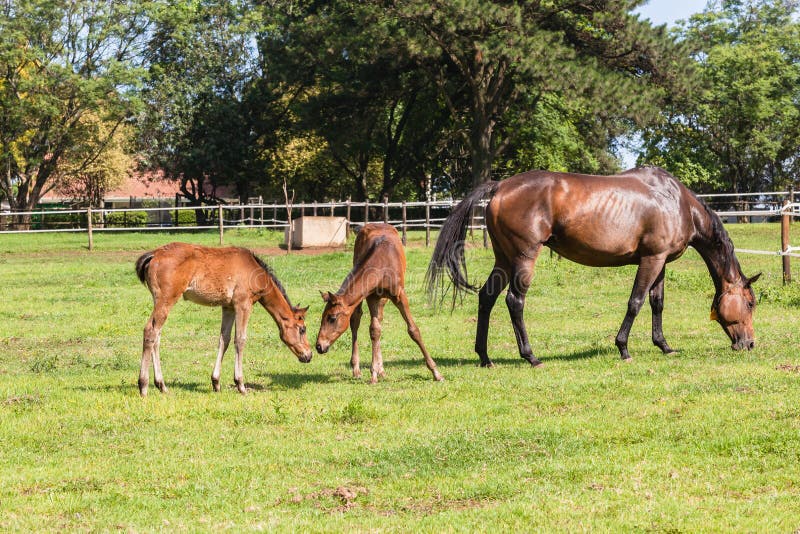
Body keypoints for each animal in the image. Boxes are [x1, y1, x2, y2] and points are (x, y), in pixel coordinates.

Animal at [135, 242, 312, 395]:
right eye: (302, 329)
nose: (309, 355)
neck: (254, 271)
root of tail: (154, 254)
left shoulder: (228, 307)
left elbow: (224, 340)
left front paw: (216, 382)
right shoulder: (243, 304)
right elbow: (240, 340)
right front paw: (240, 385)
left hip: (159, 301)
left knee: (157, 336)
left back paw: (162, 385)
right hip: (167, 299)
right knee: (150, 331)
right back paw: (143, 386)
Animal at [315, 223, 444, 383]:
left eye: (332, 318)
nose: (319, 346)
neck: (382, 262)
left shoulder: (400, 295)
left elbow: (413, 330)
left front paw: (436, 372)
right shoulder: (372, 296)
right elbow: (374, 330)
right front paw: (373, 373)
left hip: (384, 298)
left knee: (379, 320)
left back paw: (381, 369)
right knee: (356, 320)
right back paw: (358, 369)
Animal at [427, 166, 760, 367]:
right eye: (749, 302)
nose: (749, 343)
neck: (676, 202)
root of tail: (500, 186)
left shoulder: (661, 261)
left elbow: (657, 303)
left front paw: (664, 346)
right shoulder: (651, 259)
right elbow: (636, 302)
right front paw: (623, 348)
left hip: (504, 259)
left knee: (487, 297)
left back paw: (484, 357)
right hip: (523, 258)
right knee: (514, 301)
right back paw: (531, 356)